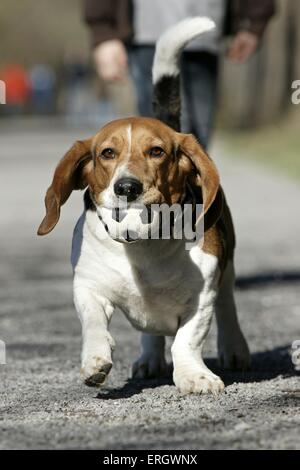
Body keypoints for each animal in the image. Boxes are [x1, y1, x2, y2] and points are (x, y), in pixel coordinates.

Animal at [37, 17, 250, 392]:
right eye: (107, 152)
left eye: (157, 151)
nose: (127, 187)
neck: (142, 242)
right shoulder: (88, 286)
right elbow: (93, 322)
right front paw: (95, 359)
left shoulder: (202, 297)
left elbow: (186, 340)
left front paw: (194, 376)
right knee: (152, 333)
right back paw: (149, 359)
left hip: (226, 272)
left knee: (227, 307)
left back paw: (234, 348)